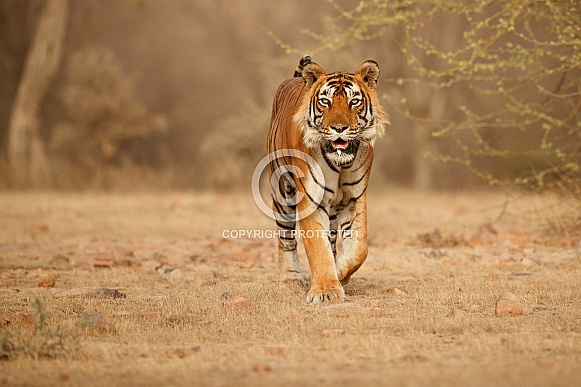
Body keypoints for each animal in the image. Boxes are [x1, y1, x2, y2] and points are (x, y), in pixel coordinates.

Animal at [268, 56, 390, 304]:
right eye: (325, 101)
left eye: (354, 102)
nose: (339, 128)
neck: (340, 164)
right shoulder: (310, 198)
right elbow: (317, 247)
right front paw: (325, 290)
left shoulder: (354, 198)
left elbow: (359, 248)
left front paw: (339, 274)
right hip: (282, 193)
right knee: (286, 238)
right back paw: (290, 279)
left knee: (332, 239)